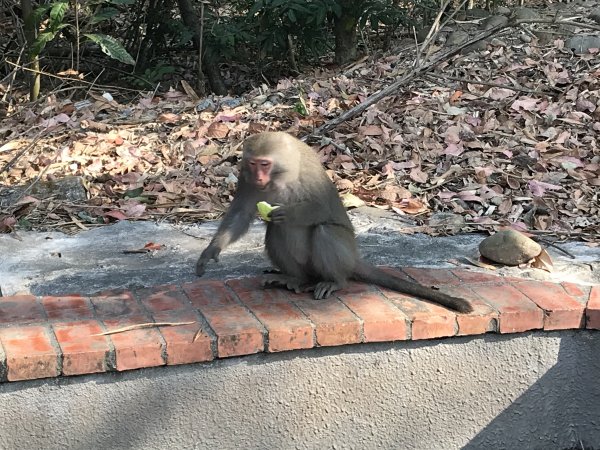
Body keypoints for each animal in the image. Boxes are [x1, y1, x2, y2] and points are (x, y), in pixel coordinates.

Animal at [197, 130, 474, 312]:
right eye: (253, 164)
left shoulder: (308, 175)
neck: (280, 175)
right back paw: (295, 278)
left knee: (324, 231)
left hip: (343, 254)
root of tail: (352, 260)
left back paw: (334, 281)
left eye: (265, 164)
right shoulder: (245, 177)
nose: (258, 178)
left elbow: (321, 208)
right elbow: (242, 214)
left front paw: (290, 213)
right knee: (276, 231)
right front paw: (212, 250)